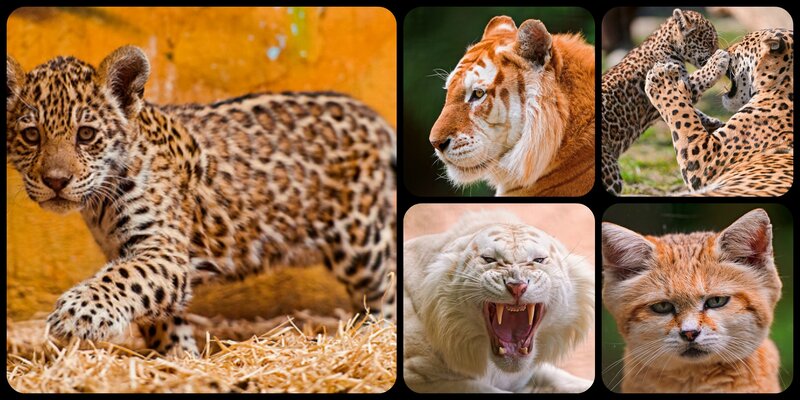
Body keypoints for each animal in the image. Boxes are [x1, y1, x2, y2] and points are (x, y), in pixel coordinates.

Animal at [6, 46, 397, 356]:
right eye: (32, 135)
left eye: (86, 135)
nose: (56, 181)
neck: (100, 202)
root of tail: (377, 120)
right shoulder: (131, 251)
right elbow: (157, 311)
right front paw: (179, 359)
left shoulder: (161, 247)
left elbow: (124, 278)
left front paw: (76, 313)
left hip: (364, 240)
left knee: (387, 283)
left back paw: (381, 335)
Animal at [601, 9, 729, 195]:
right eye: (710, 41)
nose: (717, 50)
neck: (667, 43)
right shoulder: (680, 83)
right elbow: (699, 78)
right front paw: (718, 61)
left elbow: (687, 112)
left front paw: (713, 123)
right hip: (610, 174)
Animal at [644, 29, 793, 196]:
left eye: (743, 43)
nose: (725, 50)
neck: (780, 86)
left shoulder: (708, 157)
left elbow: (680, 112)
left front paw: (663, 79)